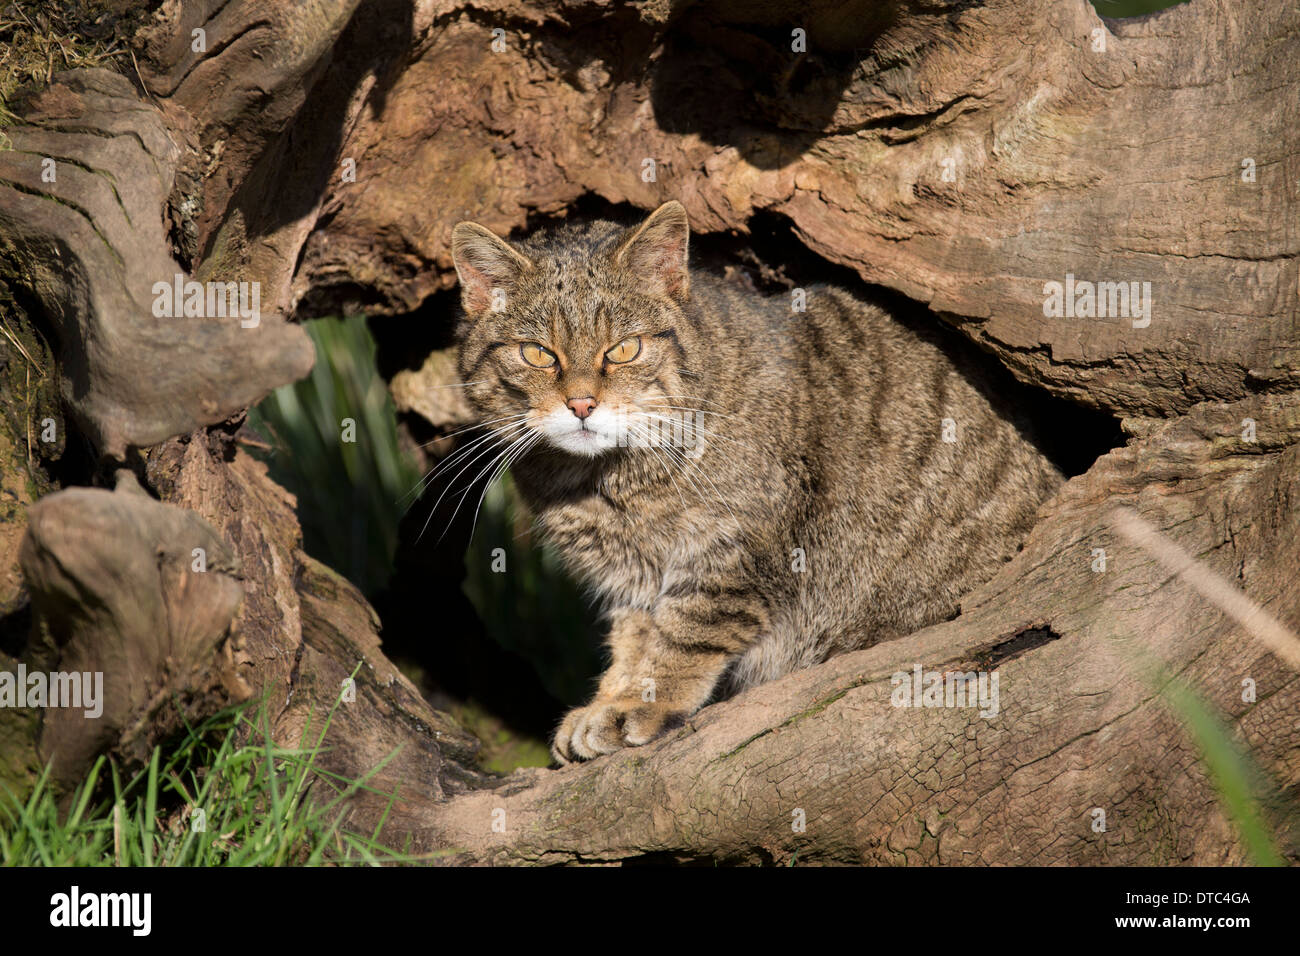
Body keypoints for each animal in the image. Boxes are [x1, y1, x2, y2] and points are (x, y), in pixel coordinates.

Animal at [452, 201, 1060, 764]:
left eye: (624, 348)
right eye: (537, 353)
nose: (581, 404)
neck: (602, 481)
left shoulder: (734, 551)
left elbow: (684, 634)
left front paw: (644, 702)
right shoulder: (628, 576)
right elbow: (633, 639)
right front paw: (611, 698)